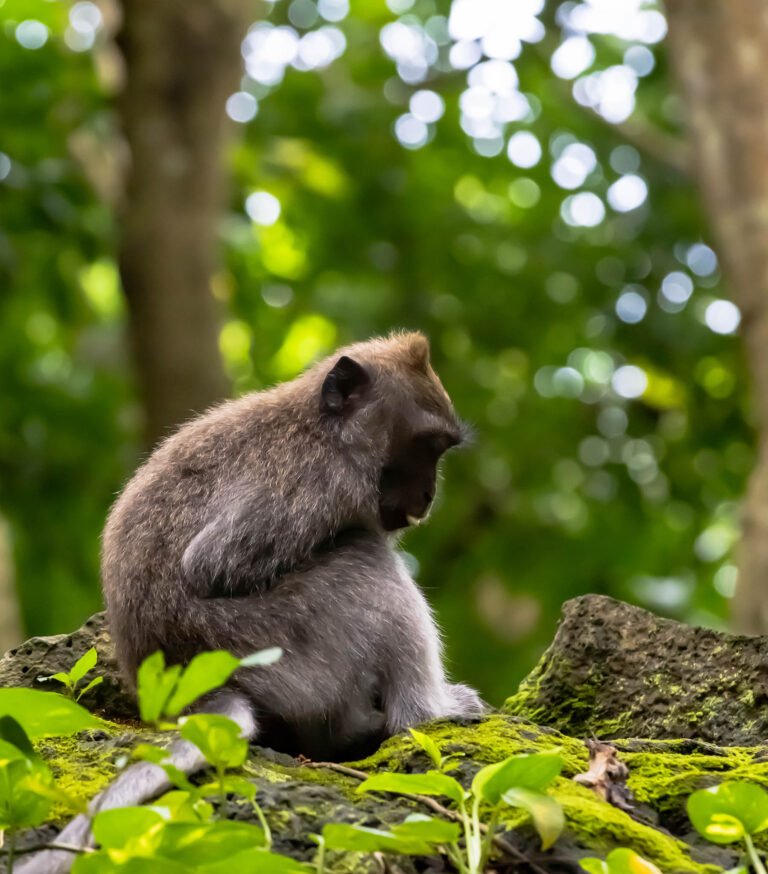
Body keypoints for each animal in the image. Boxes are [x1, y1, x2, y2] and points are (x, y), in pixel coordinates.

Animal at [19, 330, 486, 868]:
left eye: (441, 451)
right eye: (426, 446)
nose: (429, 495)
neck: (323, 431)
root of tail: (199, 691)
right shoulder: (312, 483)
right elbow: (213, 565)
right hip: (287, 654)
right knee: (363, 560)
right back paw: (427, 711)